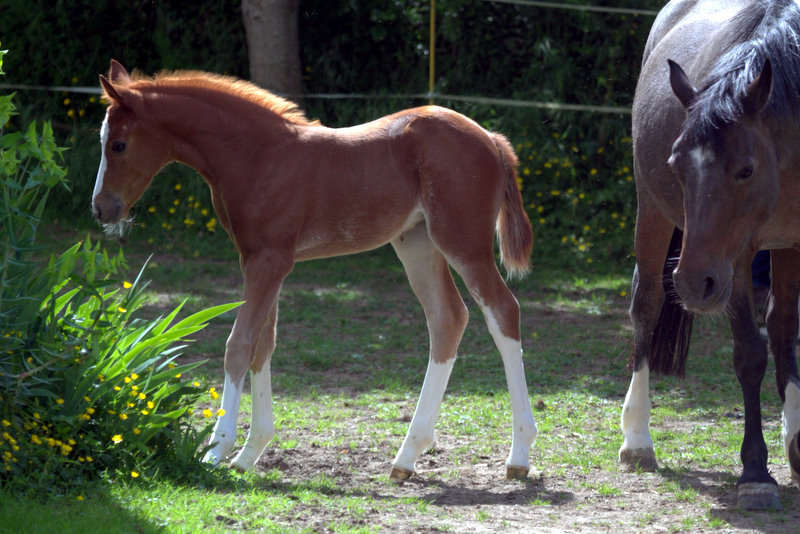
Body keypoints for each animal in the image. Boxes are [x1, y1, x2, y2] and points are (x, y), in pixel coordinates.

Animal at [620, 0, 800, 510]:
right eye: (677, 164)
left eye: (746, 169)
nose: (691, 283)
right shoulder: (734, 258)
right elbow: (749, 354)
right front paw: (756, 472)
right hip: (654, 215)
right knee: (646, 306)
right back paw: (637, 439)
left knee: (783, 327)